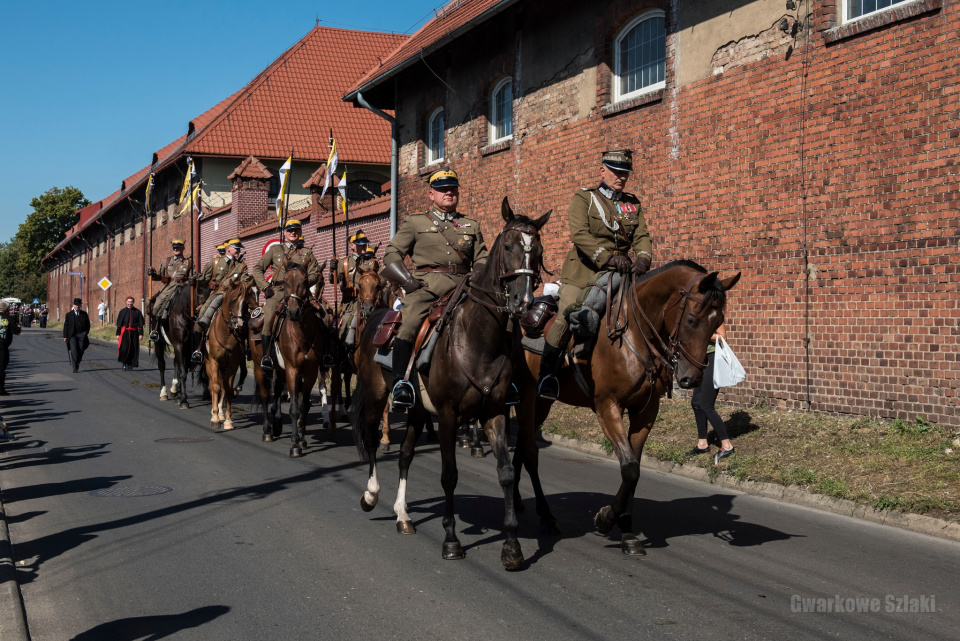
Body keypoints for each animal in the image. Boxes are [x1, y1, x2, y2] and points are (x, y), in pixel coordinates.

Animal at [203, 276, 256, 430]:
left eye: (245, 302)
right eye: (233, 300)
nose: (239, 325)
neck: (226, 334)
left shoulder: (232, 365)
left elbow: (228, 389)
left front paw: (227, 420)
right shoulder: (214, 362)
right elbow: (215, 386)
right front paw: (215, 418)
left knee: (224, 386)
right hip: (209, 363)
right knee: (213, 384)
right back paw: (215, 411)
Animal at [354, 196, 552, 568]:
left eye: (539, 250)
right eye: (508, 246)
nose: (523, 303)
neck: (478, 339)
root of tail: (377, 316)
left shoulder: (495, 413)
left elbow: (506, 472)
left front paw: (512, 546)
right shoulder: (447, 416)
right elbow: (449, 475)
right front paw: (450, 540)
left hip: (417, 409)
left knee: (405, 455)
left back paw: (403, 515)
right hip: (375, 395)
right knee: (372, 440)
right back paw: (371, 495)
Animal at [510, 260, 744, 556]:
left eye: (719, 322)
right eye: (692, 320)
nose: (692, 379)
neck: (634, 333)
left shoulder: (645, 412)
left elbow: (634, 469)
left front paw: (627, 530)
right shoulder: (607, 407)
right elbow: (630, 467)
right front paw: (605, 518)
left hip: (542, 403)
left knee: (522, 445)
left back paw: (518, 500)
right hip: (528, 397)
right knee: (530, 451)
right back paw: (545, 516)